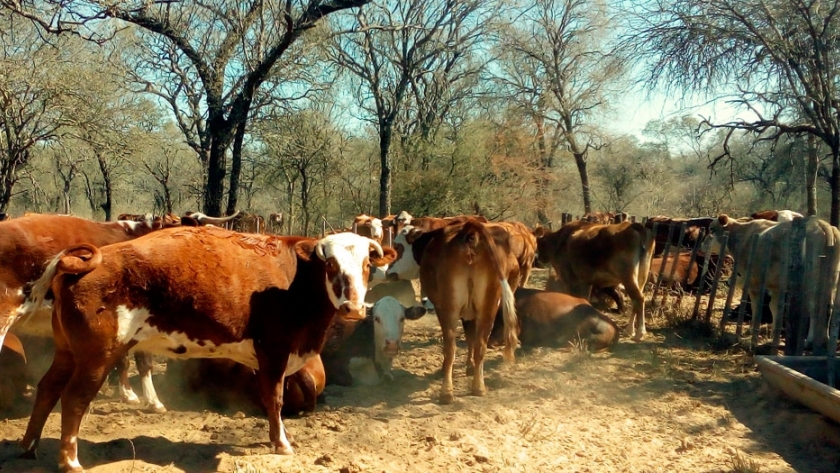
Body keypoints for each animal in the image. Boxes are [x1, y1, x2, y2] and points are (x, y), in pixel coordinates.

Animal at [18, 227, 395, 471]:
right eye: (330, 265)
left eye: (366, 266)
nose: (353, 307)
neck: (295, 281)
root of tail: (84, 264)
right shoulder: (273, 351)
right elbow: (274, 400)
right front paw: (281, 443)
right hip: (96, 358)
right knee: (73, 399)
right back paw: (70, 461)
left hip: (67, 352)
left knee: (48, 388)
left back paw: (29, 446)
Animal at [386, 218, 518, 404]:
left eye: (397, 247)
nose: (389, 272)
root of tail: (471, 232)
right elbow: (471, 339)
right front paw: (470, 367)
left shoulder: (444, 308)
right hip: (488, 308)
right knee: (480, 346)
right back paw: (478, 387)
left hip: (450, 309)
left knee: (450, 348)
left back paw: (446, 392)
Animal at [703, 214, 840, 348]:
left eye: (711, 229)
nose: (702, 244)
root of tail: (820, 222)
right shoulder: (776, 286)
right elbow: (774, 307)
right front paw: (774, 333)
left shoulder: (753, 283)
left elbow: (755, 306)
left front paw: (751, 330)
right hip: (831, 280)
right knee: (828, 306)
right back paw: (825, 340)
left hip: (812, 281)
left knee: (814, 307)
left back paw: (810, 340)